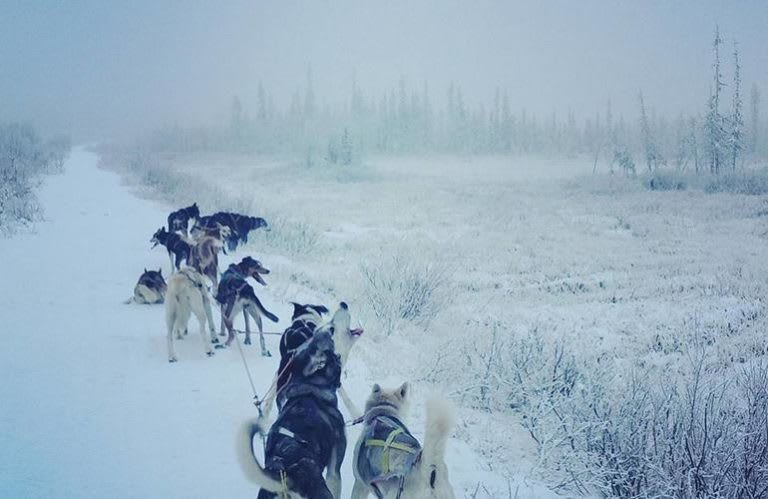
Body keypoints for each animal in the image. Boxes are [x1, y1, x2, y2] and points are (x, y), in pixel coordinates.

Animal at [237, 328, 344, 499]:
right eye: (326, 351)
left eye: (310, 343)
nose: (328, 329)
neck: (309, 390)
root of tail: (286, 476)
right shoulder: (334, 472)